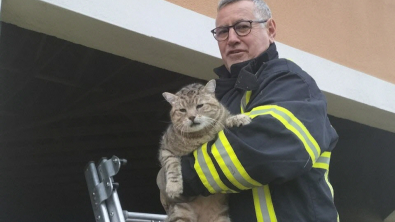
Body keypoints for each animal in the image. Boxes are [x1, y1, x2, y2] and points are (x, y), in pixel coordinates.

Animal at [158, 80, 251, 222]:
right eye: (182, 110)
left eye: (200, 105)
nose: (191, 117)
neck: (200, 135)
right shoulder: (165, 149)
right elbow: (172, 165)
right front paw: (174, 187)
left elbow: (225, 119)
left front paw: (237, 118)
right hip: (180, 214)